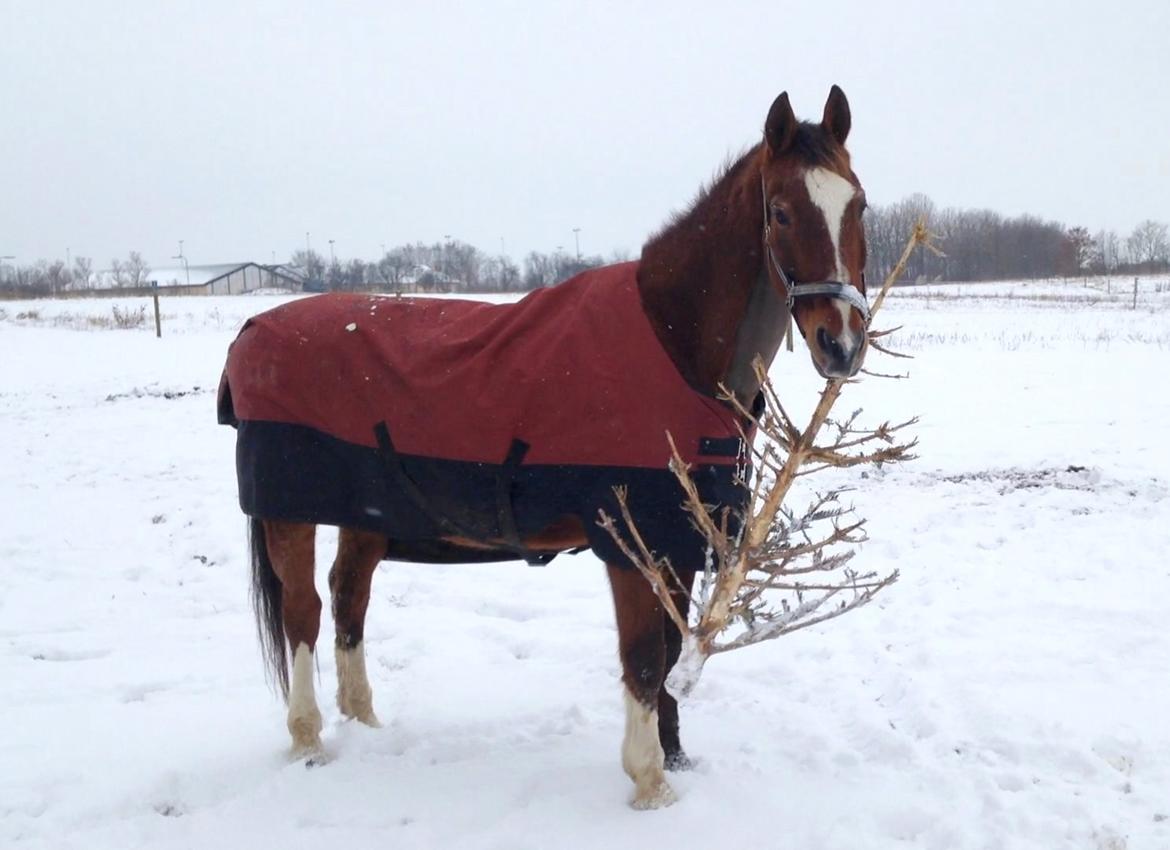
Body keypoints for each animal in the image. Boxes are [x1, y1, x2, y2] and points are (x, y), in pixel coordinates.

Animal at [217, 86, 870, 810]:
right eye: (780, 211)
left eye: (859, 205)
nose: (841, 343)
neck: (672, 343)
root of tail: (252, 328)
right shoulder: (631, 541)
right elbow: (645, 656)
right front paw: (649, 783)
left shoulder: (678, 538)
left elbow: (671, 651)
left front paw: (674, 758)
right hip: (288, 513)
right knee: (302, 613)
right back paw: (308, 740)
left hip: (365, 519)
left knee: (347, 597)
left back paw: (364, 723)